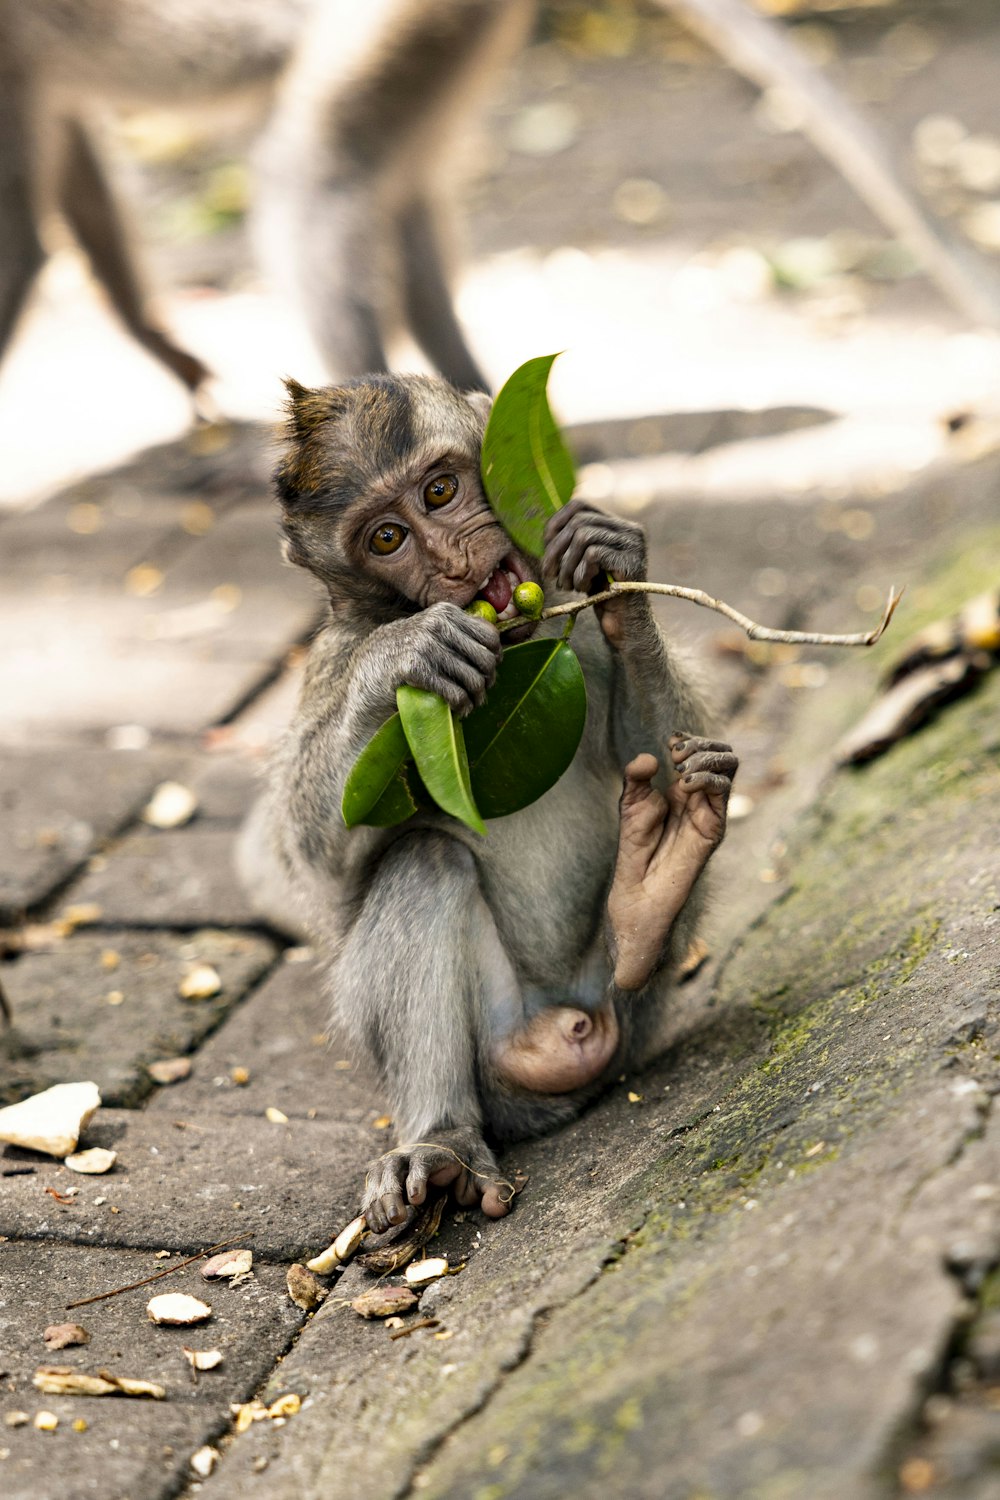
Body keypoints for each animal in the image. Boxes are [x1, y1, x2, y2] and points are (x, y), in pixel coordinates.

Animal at [242, 375, 740, 1230]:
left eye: (440, 492)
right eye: (386, 539)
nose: (448, 562)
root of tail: (569, 1036)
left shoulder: (572, 620)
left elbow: (659, 758)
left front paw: (616, 567)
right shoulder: (332, 658)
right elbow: (316, 863)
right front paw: (401, 659)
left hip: (628, 1007)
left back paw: (650, 899)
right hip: (494, 1056)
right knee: (425, 860)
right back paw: (441, 1140)